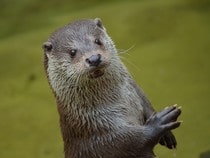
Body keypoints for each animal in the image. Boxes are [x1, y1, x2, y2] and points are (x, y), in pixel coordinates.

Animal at [42, 17, 180, 157]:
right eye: (72, 52)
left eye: (97, 41)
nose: (93, 58)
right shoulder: (99, 132)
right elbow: (129, 142)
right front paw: (160, 122)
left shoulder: (137, 93)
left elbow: (146, 104)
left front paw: (167, 134)